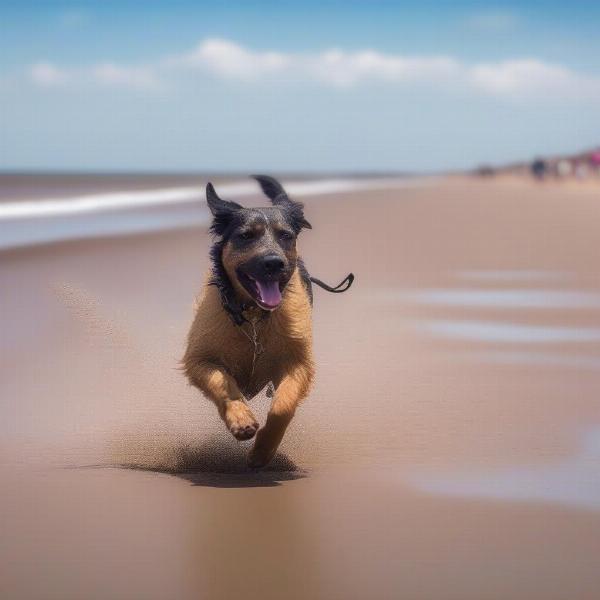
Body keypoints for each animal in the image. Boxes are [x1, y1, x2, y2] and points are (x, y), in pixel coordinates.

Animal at [182, 175, 352, 468]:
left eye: (286, 235)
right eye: (246, 235)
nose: (273, 263)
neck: (253, 317)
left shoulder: (298, 362)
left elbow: (283, 406)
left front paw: (262, 451)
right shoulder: (199, 359)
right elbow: (222, 382)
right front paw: (241, 420)